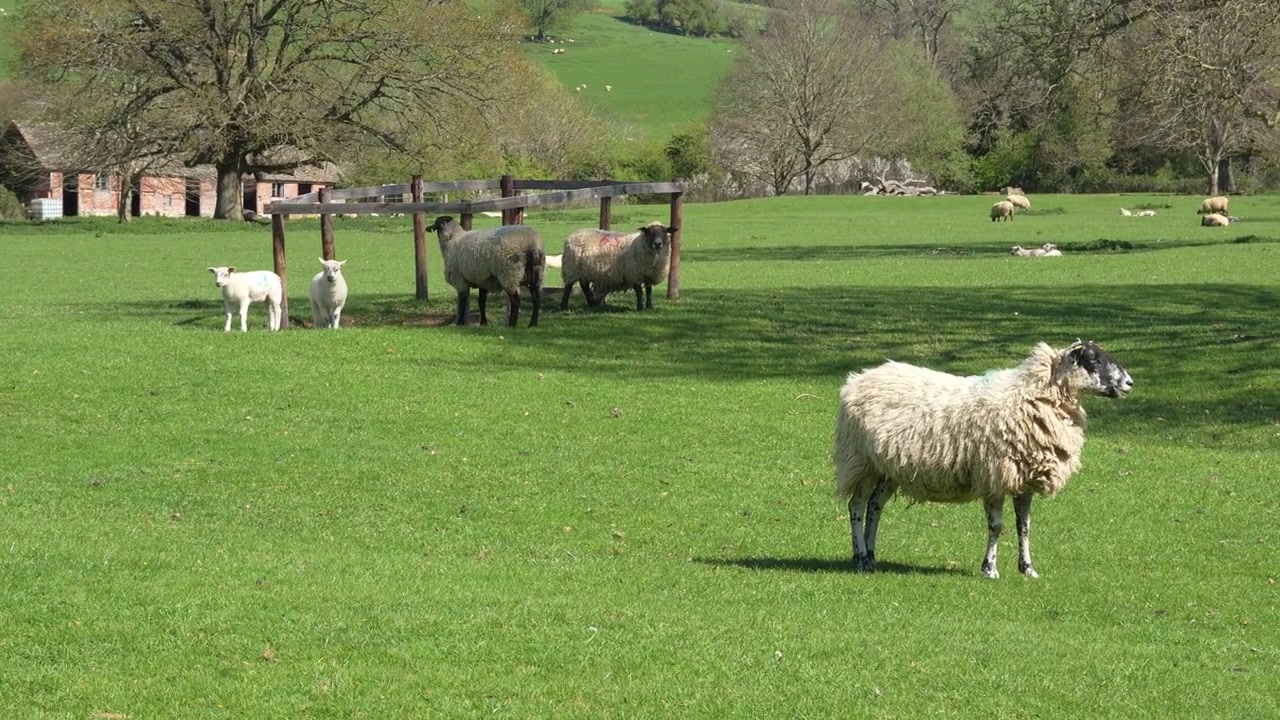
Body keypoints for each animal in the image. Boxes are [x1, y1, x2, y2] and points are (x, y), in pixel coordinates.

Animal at [834, 340, 1132, 578]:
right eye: (1093, 360)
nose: (1129, 382)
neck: (1031, 397)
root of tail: (856, 379)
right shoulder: (994, 475)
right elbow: (997, 526)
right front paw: (990, 569)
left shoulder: (1025, 479)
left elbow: (1024, 527)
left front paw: (1028, 569)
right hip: (861, 461)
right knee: (857, 506)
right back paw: (860, 558)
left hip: (888, 468)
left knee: (875, 506)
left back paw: (871, 555)